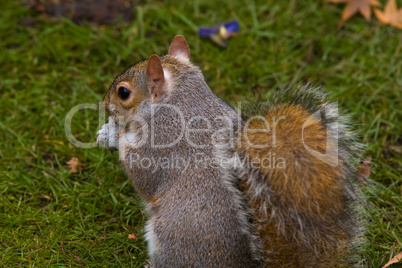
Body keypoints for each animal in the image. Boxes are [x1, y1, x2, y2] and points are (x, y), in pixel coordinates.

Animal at [96, 36, 364, 268]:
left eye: (123, 92)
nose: (104, 104)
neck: (182, 101)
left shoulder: (162, 142)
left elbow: (143, 175)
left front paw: (113, 135)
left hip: (168, 239)